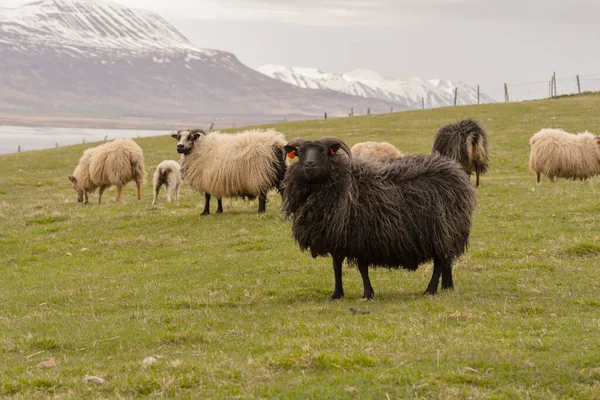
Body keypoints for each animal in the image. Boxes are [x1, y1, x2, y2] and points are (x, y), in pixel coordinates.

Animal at [284, 136, 476, 298]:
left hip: (440, 231)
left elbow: (362, 268)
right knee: (446, 260)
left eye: (323, 152)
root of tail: (455, 171)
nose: (310, 165)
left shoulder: (360, 236)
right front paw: (337, 294)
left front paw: (368, 293)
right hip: (448, 231)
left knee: (439, 262)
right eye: (300, 153)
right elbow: (336, 266)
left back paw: (430, 289)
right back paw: (447, 286)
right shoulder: (337, 238)